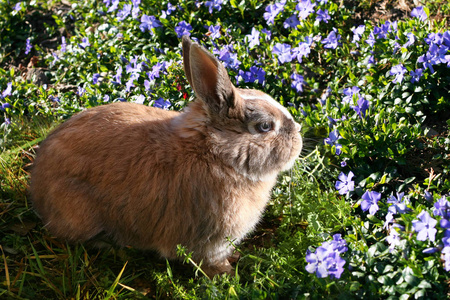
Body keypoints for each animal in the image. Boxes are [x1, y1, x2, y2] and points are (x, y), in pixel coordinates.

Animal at [28, 36, 302, 278]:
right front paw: (226, 274)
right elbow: (210, 261)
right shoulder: (210, 241)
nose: (299, 135)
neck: (216, 153)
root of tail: (38, 193)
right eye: (265, 126)